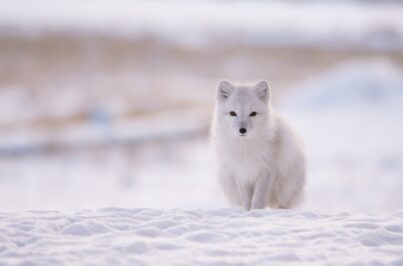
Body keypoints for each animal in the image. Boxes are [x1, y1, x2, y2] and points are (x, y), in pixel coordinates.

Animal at [211, 80, 306, 210]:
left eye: (253, 114)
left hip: (286, 190)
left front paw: (255, 211)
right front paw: (247, 212)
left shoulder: (266, 171)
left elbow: (258, 199)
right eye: (232, 113)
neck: (246, 148)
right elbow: (247, 200)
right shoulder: (241, 173)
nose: (242, 130)